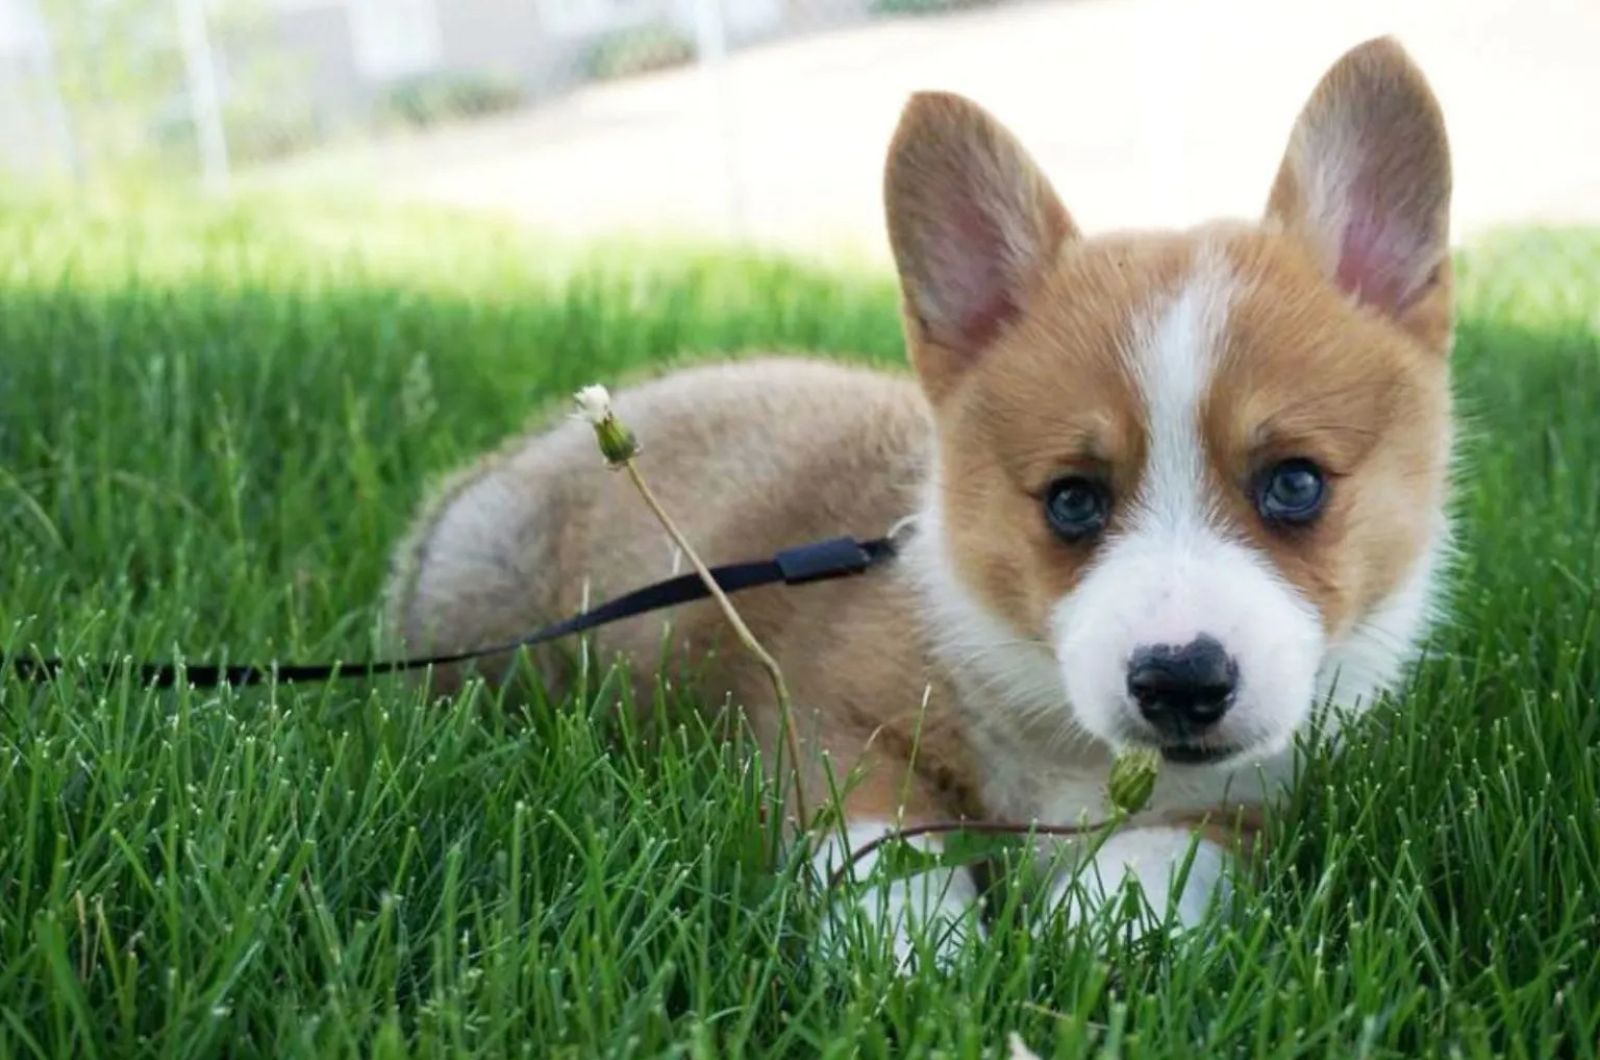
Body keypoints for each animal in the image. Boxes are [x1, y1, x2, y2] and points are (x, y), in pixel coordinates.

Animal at [387, 39, 1452, 960]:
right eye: (1072, 500)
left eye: (1295, 483)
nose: (1181, 682)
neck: (1064, 741)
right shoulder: (826, 727)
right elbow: (888, 857)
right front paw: (922, 964)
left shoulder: (1250, 804)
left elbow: (1157, 864)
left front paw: (1089, 931)